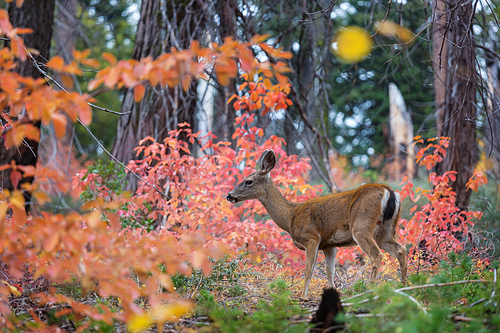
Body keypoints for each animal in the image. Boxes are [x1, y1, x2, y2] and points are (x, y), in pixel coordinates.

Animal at [227, 149, 406, 296]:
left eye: (248, 181)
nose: (229, 195)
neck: (291, 217)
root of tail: (389, 191)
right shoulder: (329, 245)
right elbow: (329, 272)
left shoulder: (311, 237)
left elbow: (308, 270)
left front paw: (303, 296)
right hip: (386, 230)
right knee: (400, 249)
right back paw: (405, 285)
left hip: (361, 226)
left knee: (376, 254)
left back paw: (369, 290)